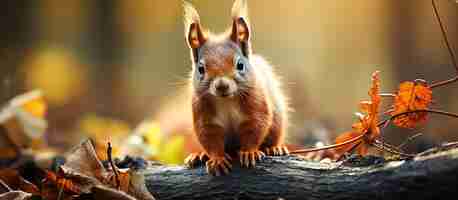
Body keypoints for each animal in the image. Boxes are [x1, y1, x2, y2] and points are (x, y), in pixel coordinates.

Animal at [183, 0, 288, 175]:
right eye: (201, 69)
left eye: (240, 65)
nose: (222, 86)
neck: (226, 101)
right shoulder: (204, 115)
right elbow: (210, 138)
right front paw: (217, 159)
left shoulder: (256, 104)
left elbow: (255, 128)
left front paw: (249, 152)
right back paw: (199, 155)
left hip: (277, 123)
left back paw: (274, 149)